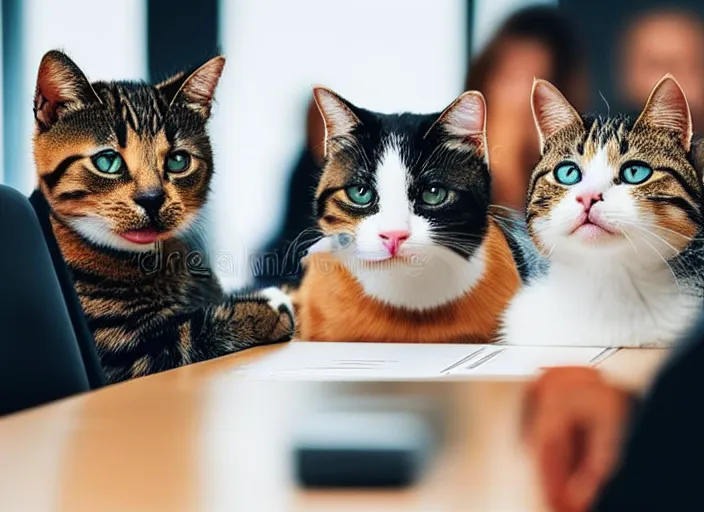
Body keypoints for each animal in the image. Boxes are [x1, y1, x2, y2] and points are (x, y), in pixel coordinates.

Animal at [33, 50, 294, 382]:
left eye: (178, 161)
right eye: (107, 161)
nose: (151, 199)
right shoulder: (125, 356)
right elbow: (192, 335)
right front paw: (271, 304)